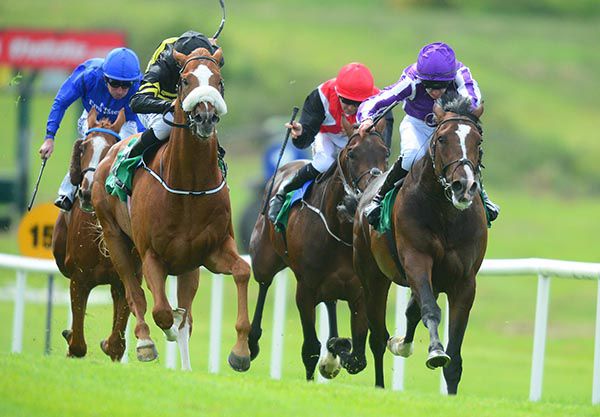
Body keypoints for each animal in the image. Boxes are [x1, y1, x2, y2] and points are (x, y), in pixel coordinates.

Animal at [53, 108, 130, 360]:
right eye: (83, 148)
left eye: (111, 149)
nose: (87, 192)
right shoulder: (79, 278)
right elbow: (77, 345)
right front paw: (70, 338)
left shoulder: (127, 277)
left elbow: (116, 344)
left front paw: (109, 343)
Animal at [91, 48, 251, 370]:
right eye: (185, 80)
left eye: (219, 80)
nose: (205, 116)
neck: (189, 186)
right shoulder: (151, 254)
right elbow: (161, 310)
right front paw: (162, 332)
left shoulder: (211, 250)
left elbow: (242, 271)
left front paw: (240, 351)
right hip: (115, 239)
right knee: (135, 294)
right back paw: (144, 341)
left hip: (188, 266)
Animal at [248, 118, 390, 378]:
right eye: (352, 153)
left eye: (385, 152)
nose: (370, 191)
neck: (340, 232)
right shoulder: (306, 289)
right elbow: (311, 349)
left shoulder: (360, 292)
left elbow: (358, 358)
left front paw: (336, 349)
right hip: (264, 259)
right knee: (263, 285)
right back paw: (249, 345)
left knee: (331, 303)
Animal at [354, 92, 486, 392]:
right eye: (442, 139)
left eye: (478, 141)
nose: (464, 185)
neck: (446, 214)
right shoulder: (416, 259)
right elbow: (430, 310)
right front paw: (436, 351)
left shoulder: (465, 280)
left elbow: (455, 356)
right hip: (372, 276)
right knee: (377, 335)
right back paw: (382, 379)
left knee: (409, 313)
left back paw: (401, 344)